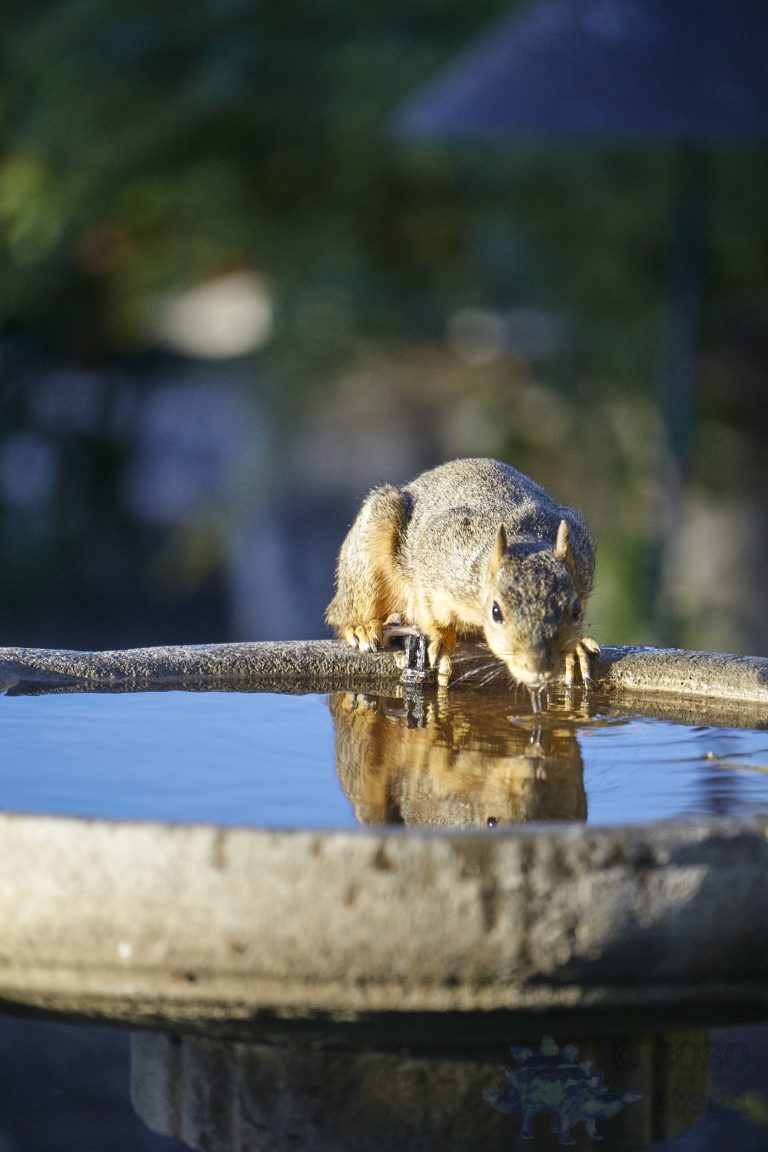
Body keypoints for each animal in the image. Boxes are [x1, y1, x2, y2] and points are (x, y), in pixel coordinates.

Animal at [326, 458, 599, 689]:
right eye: (496, 612)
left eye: (576, 610)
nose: (538, 670)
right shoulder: (438, 557)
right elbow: (431, 612)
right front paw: (441, 642)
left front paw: (574, 651)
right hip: (367, 550)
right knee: (344, 613)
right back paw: (361, 627)